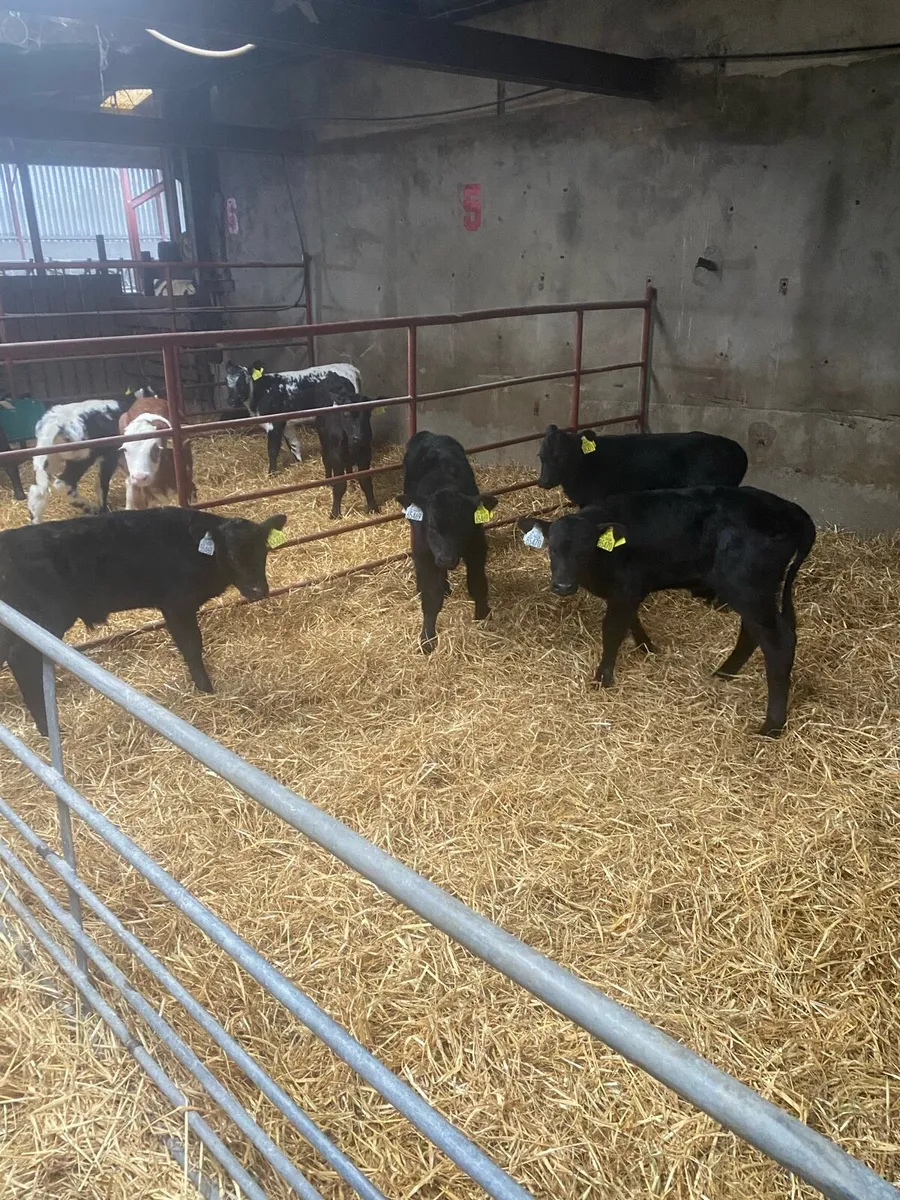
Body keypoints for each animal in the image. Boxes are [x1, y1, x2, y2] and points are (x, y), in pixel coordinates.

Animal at [0, 507, 287, 735]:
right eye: (231, 555)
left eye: (263, 551)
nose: (258, 591)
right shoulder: (176, 604)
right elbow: (192, 646)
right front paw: (205, 689)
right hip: (43, 618)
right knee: (22, 659)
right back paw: (47, 728)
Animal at [27, 390, 151, 523]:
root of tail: (55, 423)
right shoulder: (110, 455)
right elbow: (102, 484)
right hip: (82, 457)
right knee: (63, 484)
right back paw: (89, 507)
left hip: (47, 458)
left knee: (37, 491)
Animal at [225, 359, 361, 474]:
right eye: (226, 383)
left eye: (243, 381)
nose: (232, 400)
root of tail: (350, 368)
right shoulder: (286, 424)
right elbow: (294, 445)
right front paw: (298, 463)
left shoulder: (274, 423)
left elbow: (272, 449)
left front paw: (272, 473)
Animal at [396, 431, 498, 653]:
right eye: (432, 527)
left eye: (464, 527)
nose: (447, 559)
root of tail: (430, 434)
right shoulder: (424, 551)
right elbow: (431, 597)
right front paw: (427, 639)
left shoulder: (477, 547)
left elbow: (478, 584)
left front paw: (482, 616)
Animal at [517, 485, 816, 736]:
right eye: (552, 549)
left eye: (585, 550)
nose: (563, 586)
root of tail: (791, 509)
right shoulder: (628, 592)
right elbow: (631, 621)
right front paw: (646, 646)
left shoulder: (625, 589)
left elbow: (612, 630)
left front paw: (603, 677)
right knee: (752, 633)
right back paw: (723, 673)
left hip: (748, 588)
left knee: (778, 643)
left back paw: (772, 725)